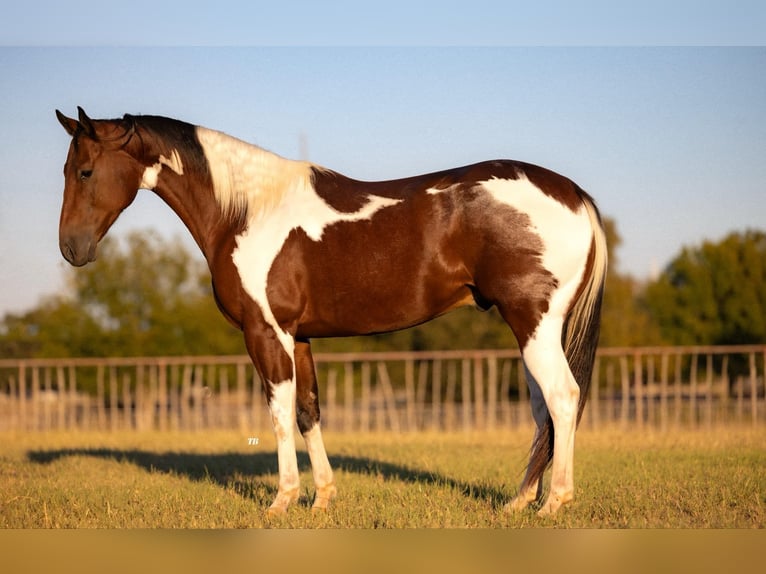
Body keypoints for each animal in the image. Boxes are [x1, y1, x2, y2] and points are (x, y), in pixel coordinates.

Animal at [55, 107, 607, 516]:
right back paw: (519, 502)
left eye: (85, 170)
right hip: (531, 328)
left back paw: (554, 503)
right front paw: (322, 498)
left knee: (562, 398)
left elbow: (278, 411)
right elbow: (308, 410)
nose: (71, 249)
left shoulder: (266, 332)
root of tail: (575, 194)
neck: (247, 211)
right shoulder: (298, 336)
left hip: (534, 324)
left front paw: (282, 500)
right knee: (541, 409)